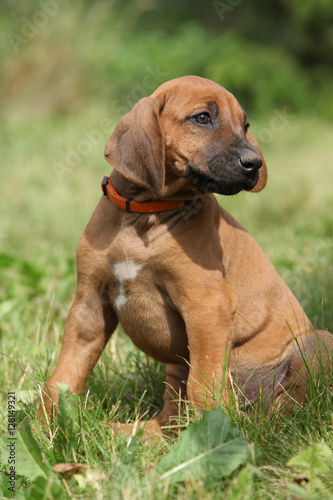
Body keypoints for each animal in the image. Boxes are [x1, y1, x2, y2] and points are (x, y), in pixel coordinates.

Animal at [39, 76, 332, 432]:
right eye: (202, 118)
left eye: (245, 125)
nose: (254, 164)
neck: (145, 215)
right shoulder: (89, 305)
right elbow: (66, 373)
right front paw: (46, 424)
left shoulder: (206, 305)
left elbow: (204, 383)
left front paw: (211, 431)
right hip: (175, 371)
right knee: (169, 420)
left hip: (318, 343)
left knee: (287, 406)